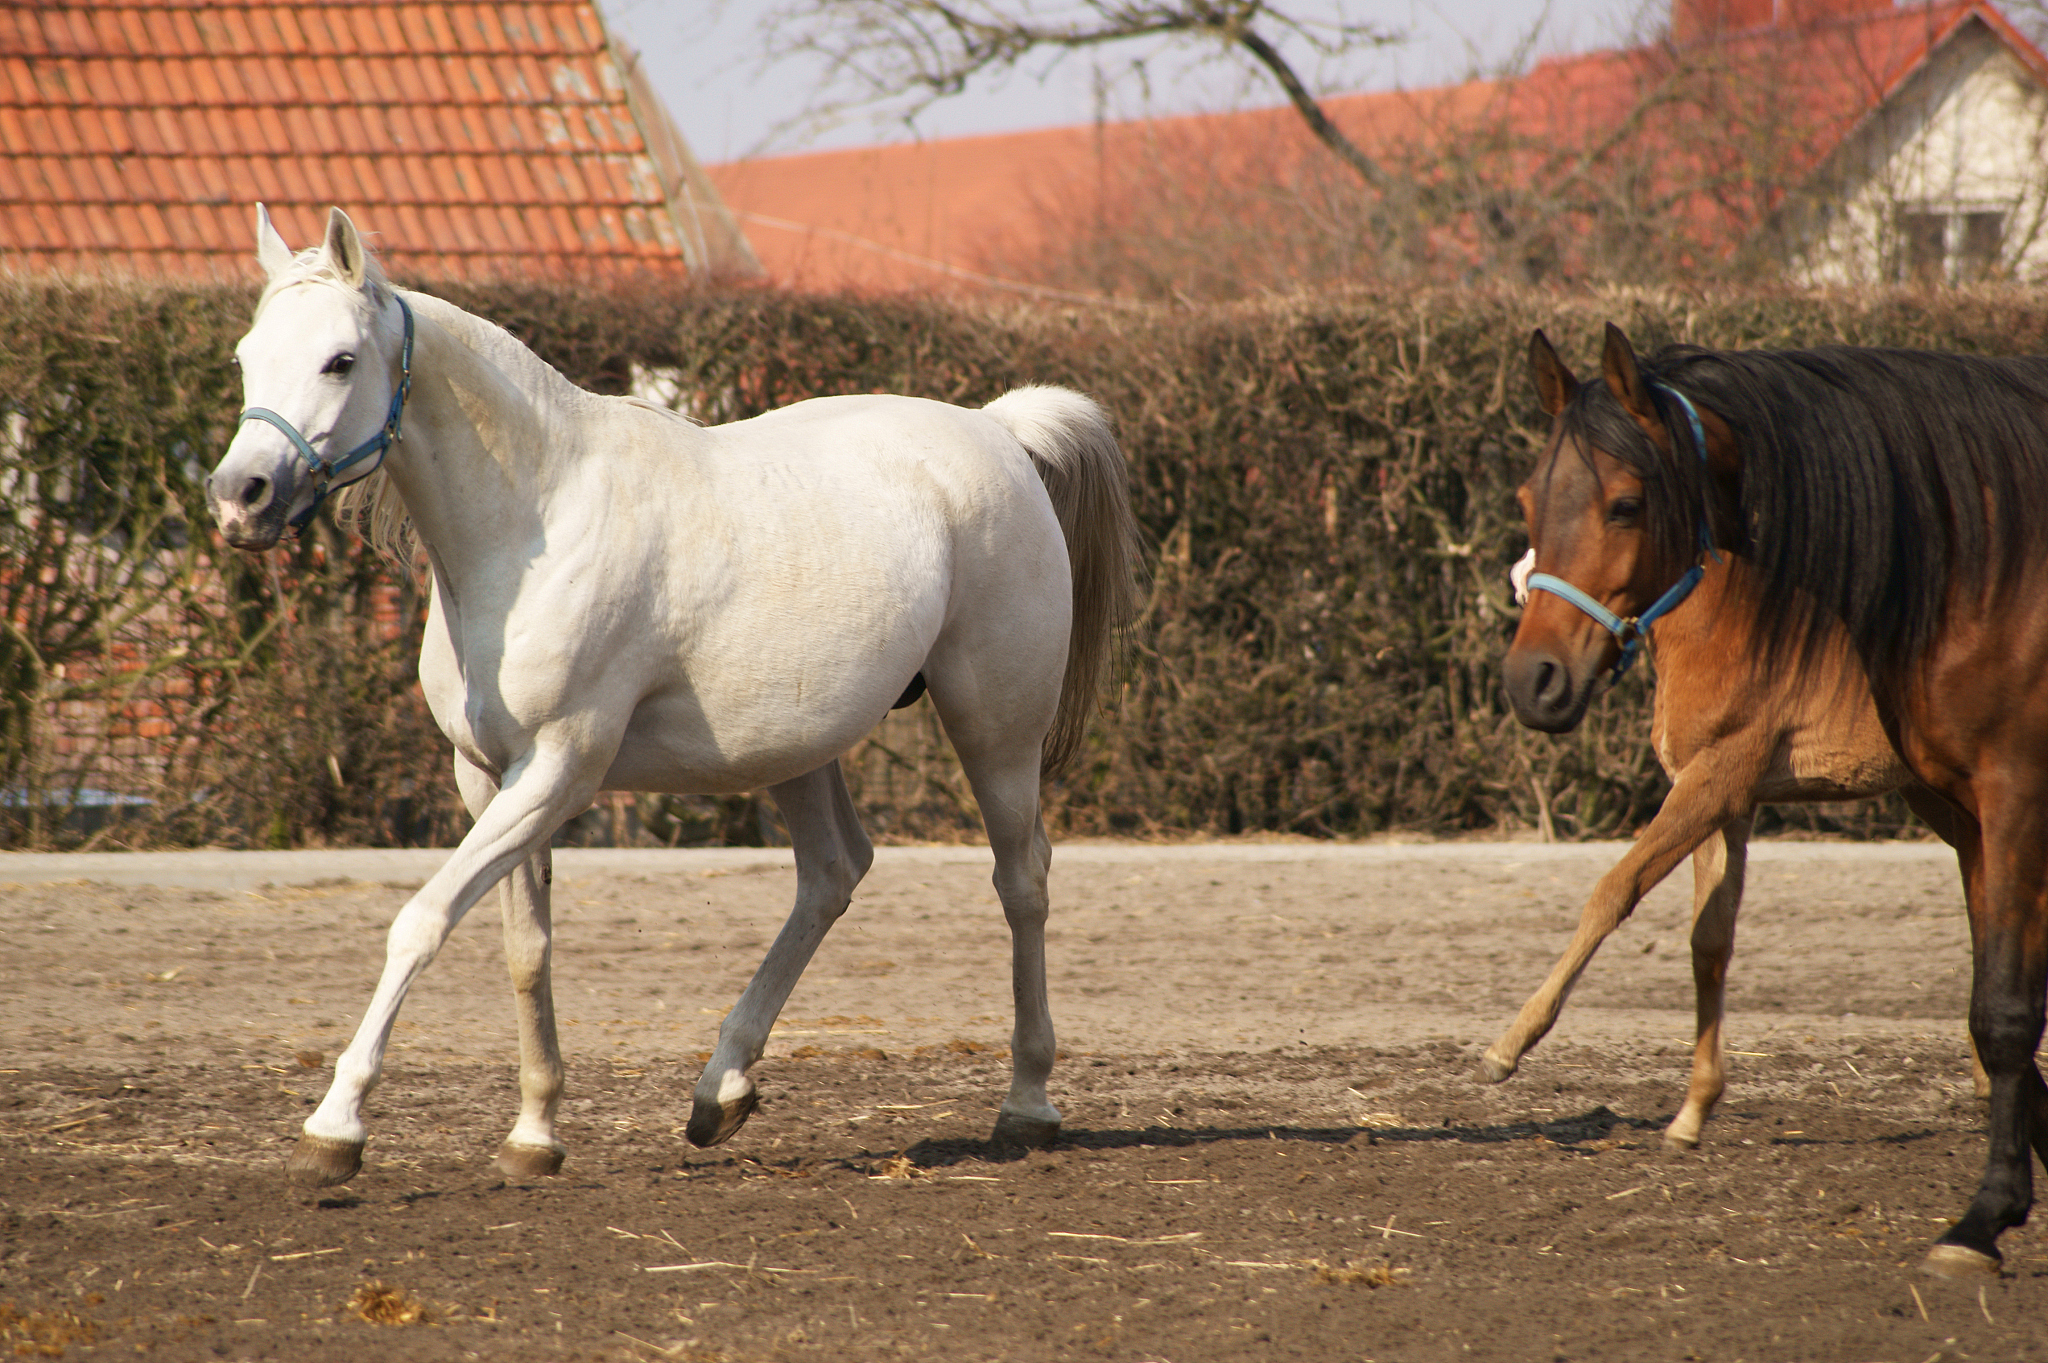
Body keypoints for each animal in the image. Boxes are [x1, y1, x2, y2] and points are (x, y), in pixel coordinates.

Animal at [205, 206, 1143, 1188]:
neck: (536, 521)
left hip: (996, 728)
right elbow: (525, 948)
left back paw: (1026, 1102)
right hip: (796, 746)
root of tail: (996, 432)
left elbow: (422, 921)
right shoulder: (486, 775)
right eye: (246, 356)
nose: (241, 496)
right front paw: (534, 1132)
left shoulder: (560, 768)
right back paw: (721, 1088)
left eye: (340, 359)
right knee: (833, 873)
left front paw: (336, 1125)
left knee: (1021, 878)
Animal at [1503, 321, 2048, 1279]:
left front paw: (1512, 1039)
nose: (1535, 681)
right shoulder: (1728, 795)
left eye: (1625, 504)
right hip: (1952, 803)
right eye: (1531, 498)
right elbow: (1708, 940)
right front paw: (1691, 1112)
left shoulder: (1720, 773)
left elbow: (1614, 889)